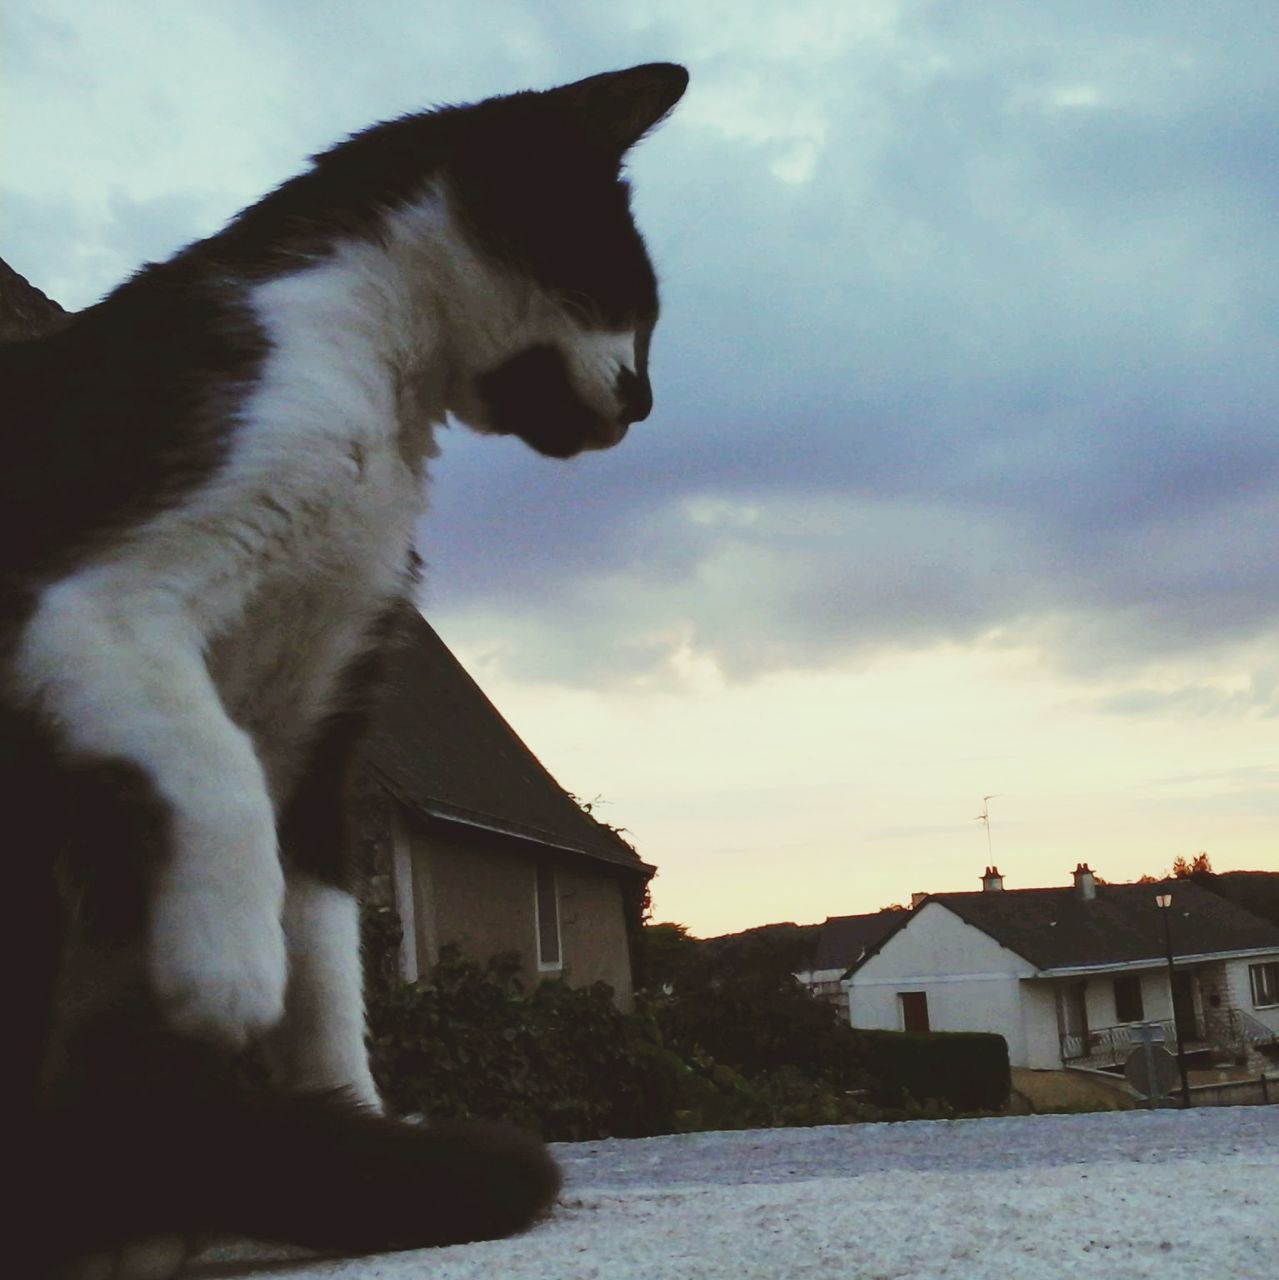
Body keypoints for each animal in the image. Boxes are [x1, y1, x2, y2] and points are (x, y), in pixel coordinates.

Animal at [7, 62, 691, 1280]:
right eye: (633, 298)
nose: (648, 401)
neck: (380, 377)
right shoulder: (91, 600)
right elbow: (217, 767)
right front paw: (227, 968)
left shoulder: (326, 711)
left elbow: (326, 962)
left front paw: (355, 1121)